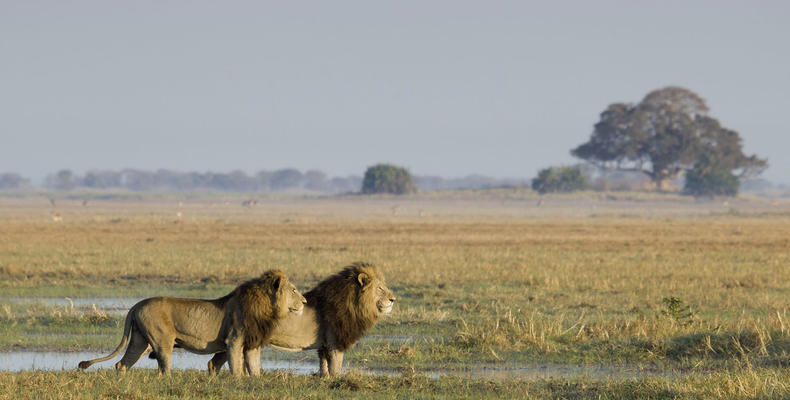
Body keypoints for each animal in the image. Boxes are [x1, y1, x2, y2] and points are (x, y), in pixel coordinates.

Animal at [77, 270, 306, 376]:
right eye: (294, 289)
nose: (304, 302)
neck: (267, 307)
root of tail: (137, 304)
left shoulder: (252, 343)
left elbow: (254, 367)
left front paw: (254, 380)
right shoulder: (234, 339)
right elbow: (236, 366)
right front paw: (238, 382)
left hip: (140, 341)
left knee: (122, 363)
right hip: (161, 340)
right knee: (163, 367)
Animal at [209, 260, 396, 376]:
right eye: (380, 288)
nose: (393, 299)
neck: (354, 303)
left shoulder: (325, 345)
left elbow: (324, 366)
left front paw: (324, 379)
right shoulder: (335, 342)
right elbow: (335, 367)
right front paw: (336, 380)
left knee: (215, 362)